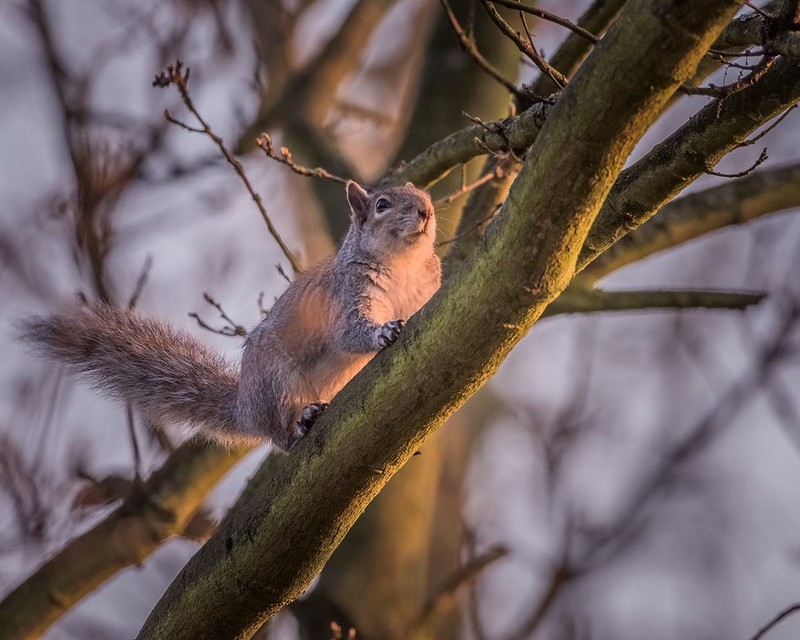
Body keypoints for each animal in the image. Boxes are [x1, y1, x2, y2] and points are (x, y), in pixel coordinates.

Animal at [21, 180, 444, 450]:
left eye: (421, 193)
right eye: (382, 205)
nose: (426, 209)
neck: (403, 264)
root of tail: (247, 408)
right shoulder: (347, 294)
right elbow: (349, 330)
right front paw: (382, 333)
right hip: (277, 381)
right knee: (281, 435)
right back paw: (301, 423)